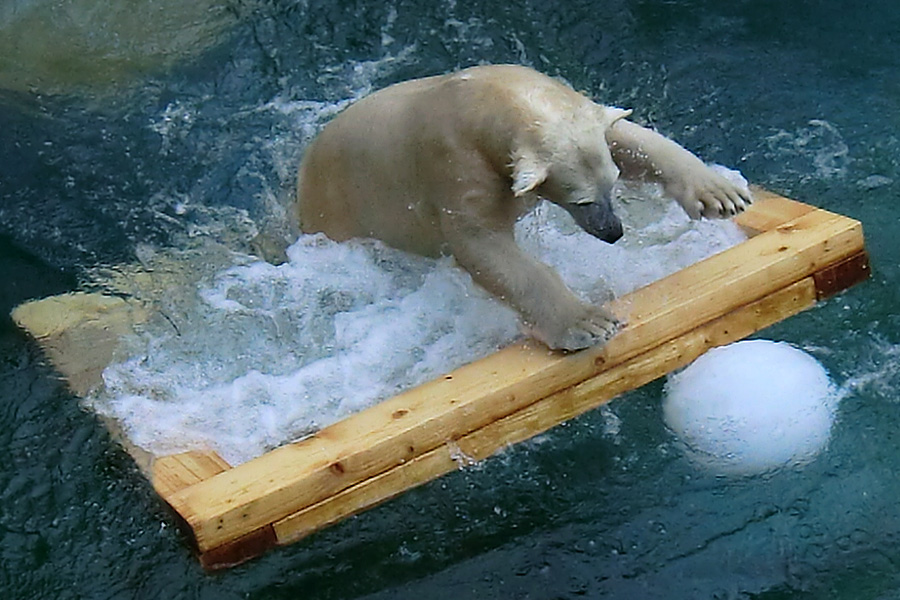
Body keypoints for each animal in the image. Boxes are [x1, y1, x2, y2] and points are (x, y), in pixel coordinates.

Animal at [298, 64, 752, 352]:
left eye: (612, 184)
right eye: (581, 200)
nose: (613, 231)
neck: (479, 98)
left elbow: (628, 139)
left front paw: (719, 194)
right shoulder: (453, 168)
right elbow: (484, 248)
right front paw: (588, 323)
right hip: (339, 211)